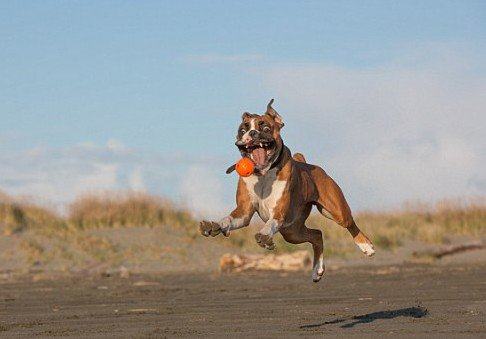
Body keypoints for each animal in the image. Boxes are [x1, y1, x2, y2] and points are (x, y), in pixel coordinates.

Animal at [199, 99, 374, 282]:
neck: (263, 174)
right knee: (317, 235)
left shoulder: (278, 213)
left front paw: (265, 236)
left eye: (266, 128)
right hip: (292, 232)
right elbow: (228, 219)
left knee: (349, 224)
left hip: (335, 212)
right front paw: (215, 225)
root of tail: (306, 163)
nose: (253, 133)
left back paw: (366, 246)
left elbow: (270, 224)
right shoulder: (243, 212)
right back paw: (317, 269)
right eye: (243, 130)